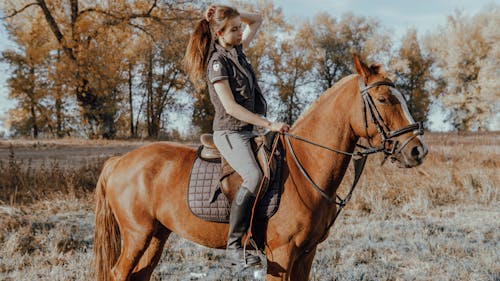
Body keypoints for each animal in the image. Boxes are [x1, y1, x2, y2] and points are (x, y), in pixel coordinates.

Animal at [93, 53, 426, 278]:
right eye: (383, 99)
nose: (417, 150)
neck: (305, 167)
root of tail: (120, 161)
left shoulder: (306, 255)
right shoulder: (282, 254)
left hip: (155, 236)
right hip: (137, 236)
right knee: (118, 273)